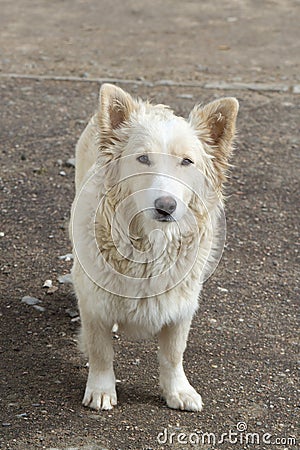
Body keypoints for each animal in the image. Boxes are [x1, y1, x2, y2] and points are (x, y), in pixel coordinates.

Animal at [70, 83, 239, 412]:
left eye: (187, 161)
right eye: (143, 159)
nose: (165, 206)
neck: (150, 244)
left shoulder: (181, 304)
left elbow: (173, 354)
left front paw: (178, 391)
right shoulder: (95, 304)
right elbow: (100, 351)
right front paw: (101, 390)